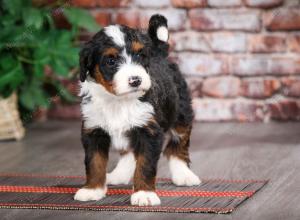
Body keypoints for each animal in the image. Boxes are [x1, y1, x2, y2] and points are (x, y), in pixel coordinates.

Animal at [74, 14, 202, 206]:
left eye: (140, 55)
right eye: (111, 61)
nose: (136, 80)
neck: (118, 101)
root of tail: (159, 53)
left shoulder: (149, 131)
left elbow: (145, 164)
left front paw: (144, 194)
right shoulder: (93, 129)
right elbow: (94, 162)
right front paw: (92, 190)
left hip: (181, 111)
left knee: (178, 144)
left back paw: (184, 175)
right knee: (129, 152)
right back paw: (119, 175)